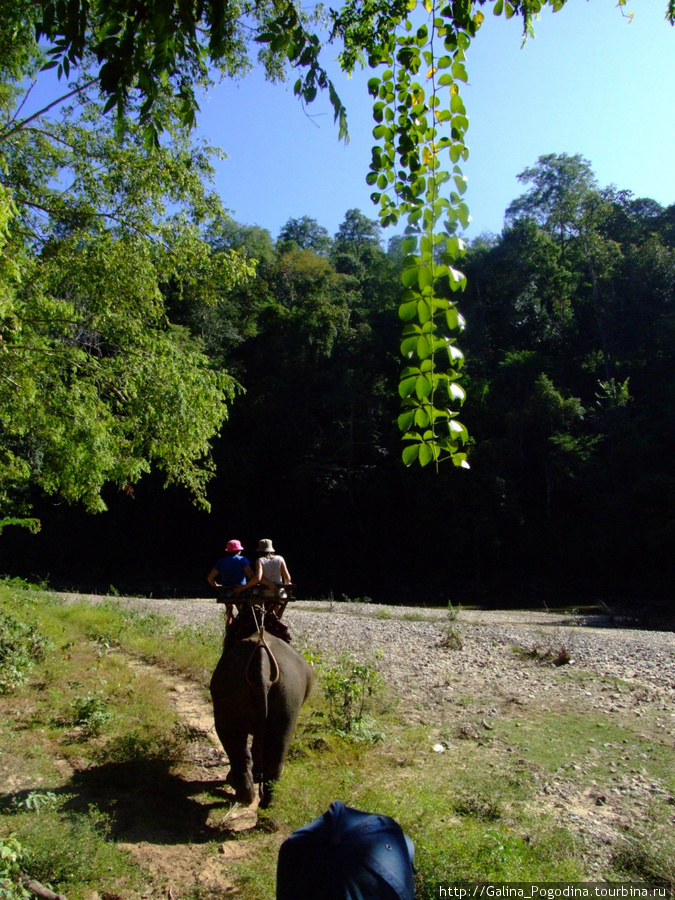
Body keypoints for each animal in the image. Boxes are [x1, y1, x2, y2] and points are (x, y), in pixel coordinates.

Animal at [210, 632, 312, 808]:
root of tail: (262, 657)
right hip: (288, 697)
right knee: (273, 754)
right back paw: (261, 801)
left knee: (238, 748)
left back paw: (247, 795)